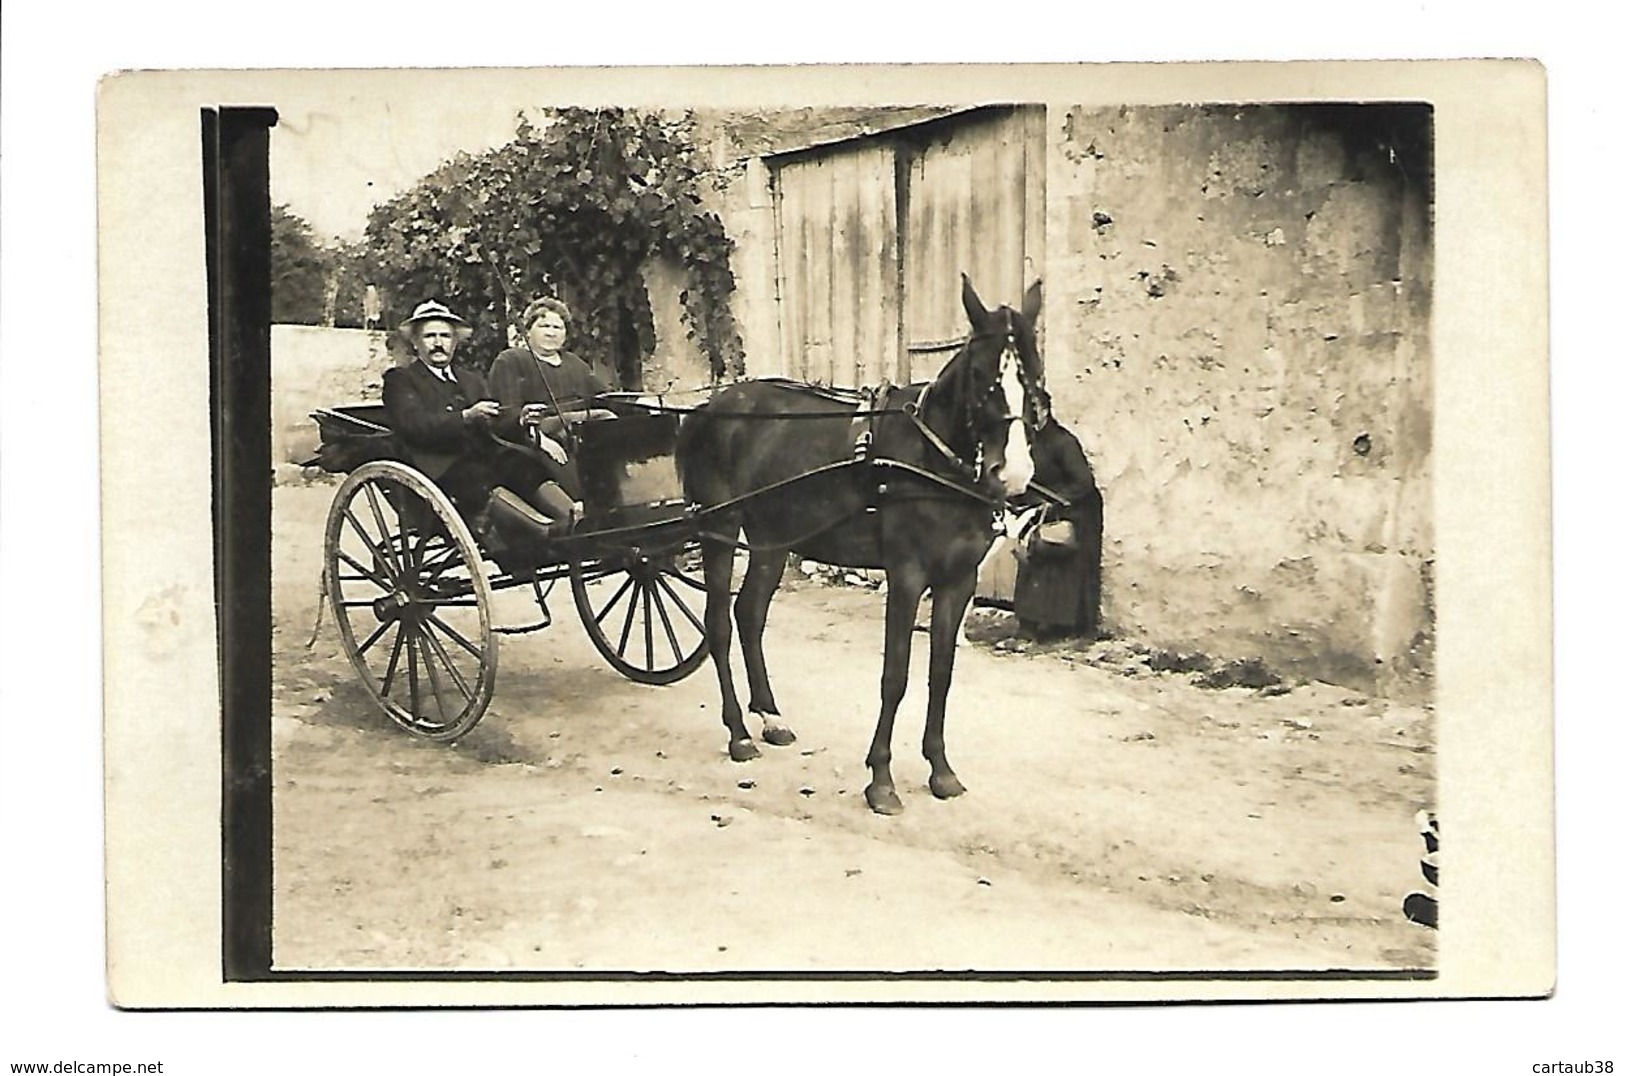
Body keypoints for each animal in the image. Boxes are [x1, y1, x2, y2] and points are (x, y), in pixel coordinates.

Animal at [676, 277, 1046, 819]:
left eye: (1033, 372)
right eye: (981, 374)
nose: (1013, 473)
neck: (931, 459)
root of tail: (708, 409)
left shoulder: (958, 581)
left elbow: (941, 673)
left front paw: (940, 770)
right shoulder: (907, 575)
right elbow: (896, 675)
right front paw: (881, 780)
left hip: (772, 538)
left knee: (749, 615)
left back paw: (770, 718)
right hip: (718, 529)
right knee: (720, 625)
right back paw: (739, 733)